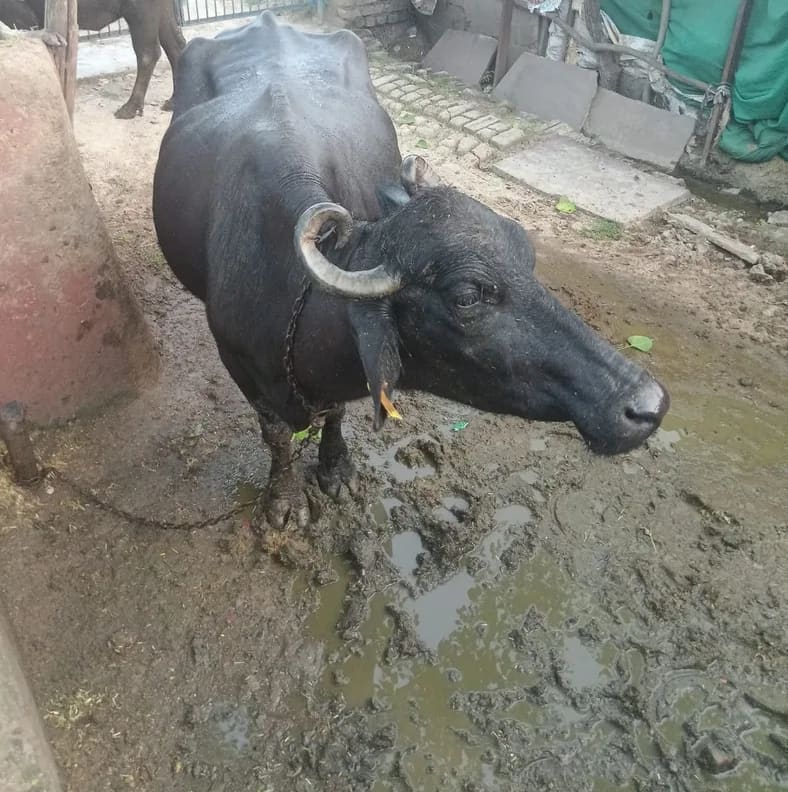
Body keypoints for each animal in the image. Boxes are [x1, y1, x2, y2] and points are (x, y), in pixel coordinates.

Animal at [153, 13, 669, 528]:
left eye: (527, 256)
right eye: (466, 296)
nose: (648, 405)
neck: (287, 284)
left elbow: (335, 413)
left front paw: (336, 469)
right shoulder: (237, 361)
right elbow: (276, 435)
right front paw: (283, 499)